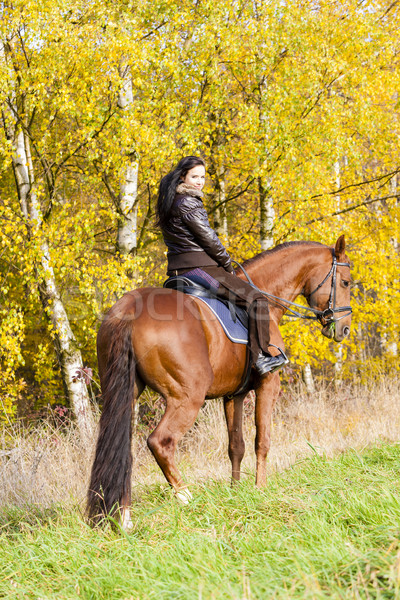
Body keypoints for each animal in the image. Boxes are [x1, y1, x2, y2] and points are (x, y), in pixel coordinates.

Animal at [86, 234, 350, 524]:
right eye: (346, 282)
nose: (344, 329)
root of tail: (129, 309)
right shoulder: (268, 384)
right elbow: (262, 440)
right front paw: (260, 490)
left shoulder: (233, 395)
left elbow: (236, 445)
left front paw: (236, 492)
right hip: (188, 397)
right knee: (160, 442)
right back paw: (186, 497)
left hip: (123, 397)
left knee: (120, 448)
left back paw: (123, 518)